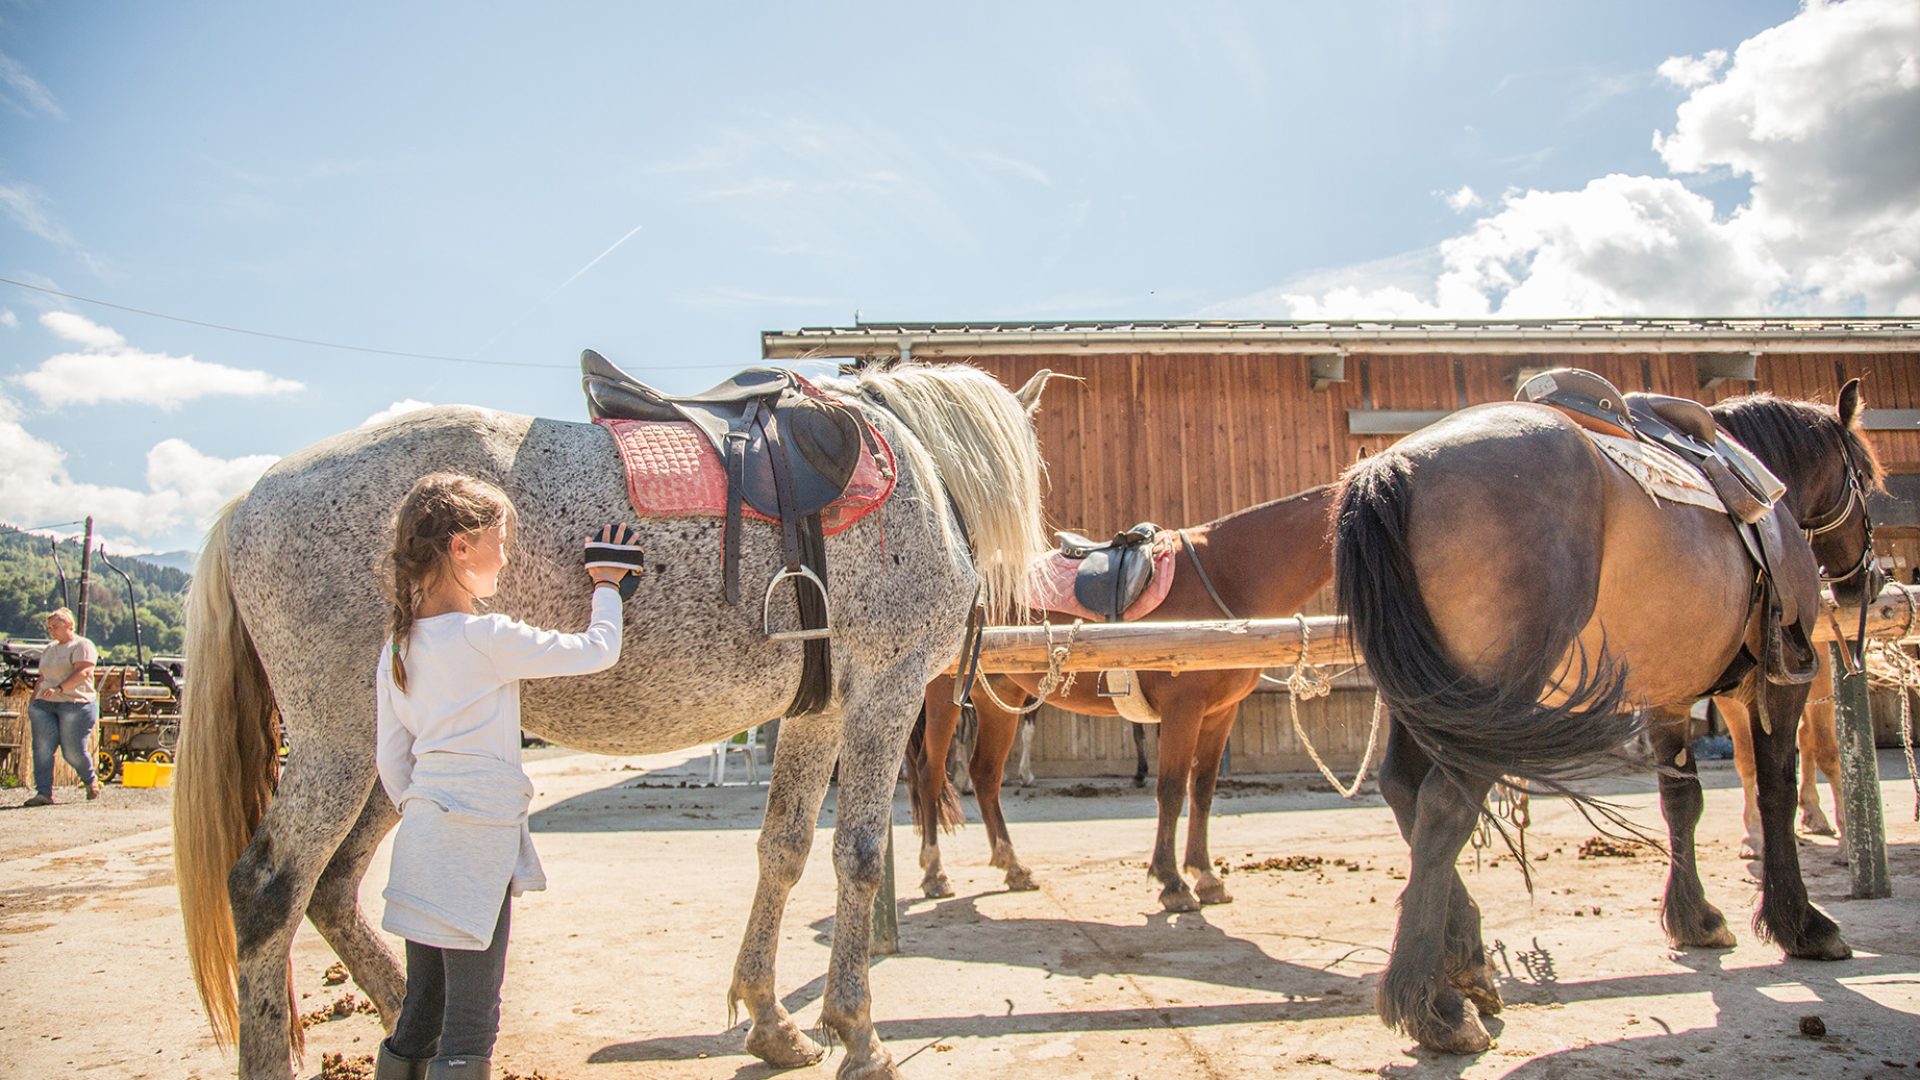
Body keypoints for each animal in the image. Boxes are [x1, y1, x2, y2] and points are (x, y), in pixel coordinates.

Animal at [176, 363, 1052, 1076]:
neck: (929, 471)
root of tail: (250, 498)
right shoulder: (885, 690)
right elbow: (860, 858)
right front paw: (858, 1035)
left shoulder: (820, 713)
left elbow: (784, 851)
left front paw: (771, 1022)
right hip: (338, 746)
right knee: (267, 891)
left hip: (392, 763)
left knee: (333, 890)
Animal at [910, 478, 1336, 907]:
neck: (1227, 575)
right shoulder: (1183, 710)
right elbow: (1171, 789)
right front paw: (1172, 882)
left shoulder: (1220, 713)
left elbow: (1202, 789)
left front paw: (1205, 876)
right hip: (944, 695)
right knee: (930, 771)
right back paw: (935, 872)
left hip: (1000, 698)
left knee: (985, 773)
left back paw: (1013, 866)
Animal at [1336, 380, 1873, 1053]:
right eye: (1866, 474)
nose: (1865, 581)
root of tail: (1395, 467)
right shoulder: (1778, 682)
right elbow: (1775, 788)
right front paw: (1800, 923)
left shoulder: (1670, 694)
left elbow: (1683, 801)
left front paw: (1694, 918)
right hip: (1489, 695)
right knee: (1444, 808)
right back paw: (1434, 1008)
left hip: (1434, 697)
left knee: (1404, 791)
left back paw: (1468, 966)